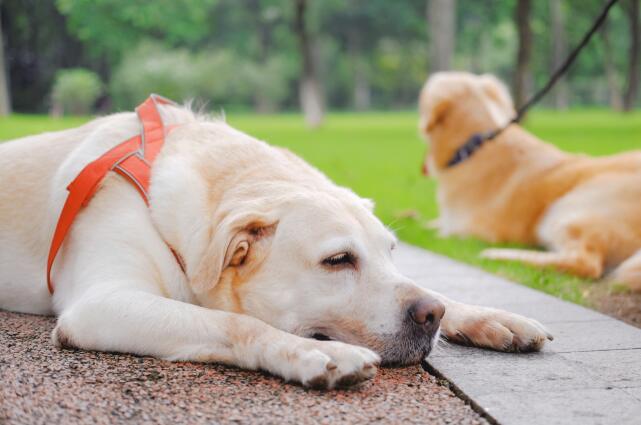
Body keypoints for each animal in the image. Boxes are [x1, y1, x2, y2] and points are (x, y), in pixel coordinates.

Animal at [0, 98, 552, 388]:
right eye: (338, 260)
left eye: (391, 252)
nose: (430, 315)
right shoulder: (101, 304)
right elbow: (233, 322)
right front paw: (310, 353)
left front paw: (486, 316)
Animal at [418, 72, 640, 292]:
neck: (475, 145)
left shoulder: (468, 229)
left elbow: (439, 230)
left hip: (566, 209)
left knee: (586, 263)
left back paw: (500, 254)